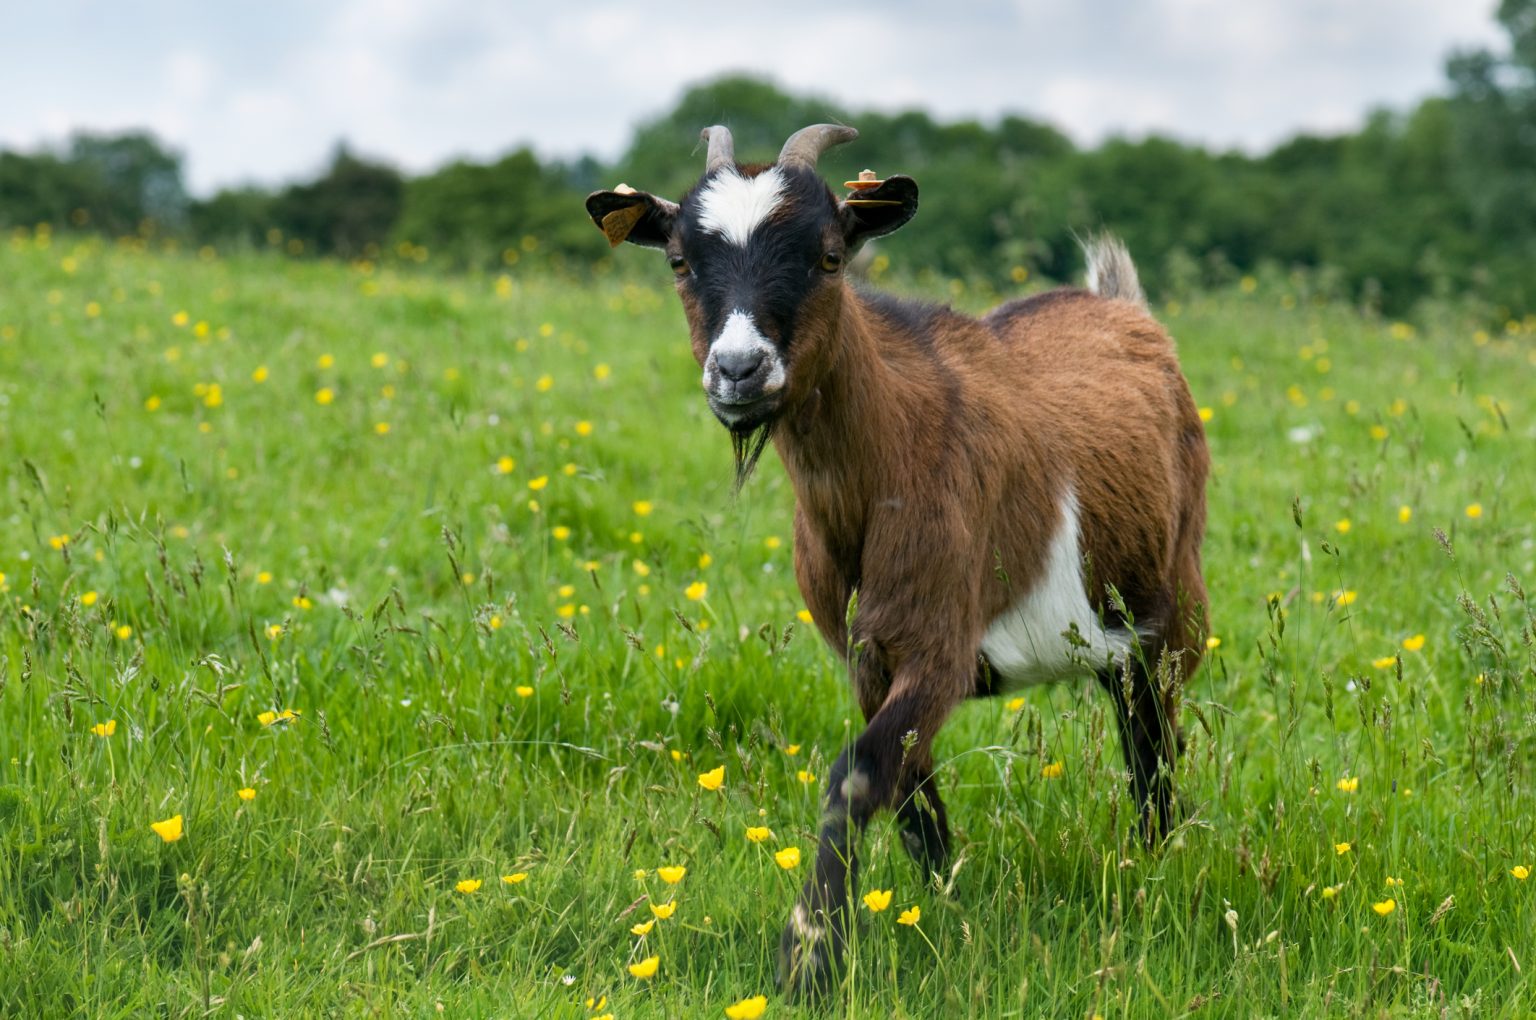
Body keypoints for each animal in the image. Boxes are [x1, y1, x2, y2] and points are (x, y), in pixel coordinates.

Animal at [580, 121, 1204, 995]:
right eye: (677, 260)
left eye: (830, 255)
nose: (739, 370)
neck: (884, 464)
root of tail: (1121, 306)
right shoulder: (866, 657)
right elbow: (908, 789)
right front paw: (946, 908)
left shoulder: (939, 647)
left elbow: (857, 771)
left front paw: (808, 956)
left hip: (1174, 613)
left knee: (1152, 746)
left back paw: (1152, 865)